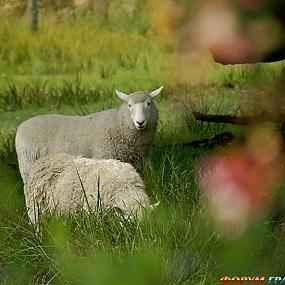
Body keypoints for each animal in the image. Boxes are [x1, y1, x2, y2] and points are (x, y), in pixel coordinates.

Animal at [15, 85, 162, 182]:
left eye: (149, 104)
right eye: (130, 106)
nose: (140, 122)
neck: (117, 123)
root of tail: (21, 126)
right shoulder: (106, 157)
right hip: (27, 164)